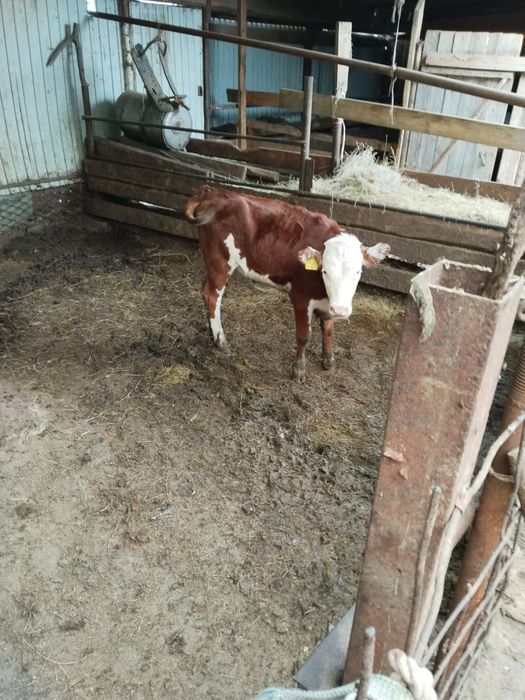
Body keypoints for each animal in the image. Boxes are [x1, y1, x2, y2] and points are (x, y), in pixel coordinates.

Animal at [186, 187, 390, 379]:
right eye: (325, 271)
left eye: (358, 272)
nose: (340, 310)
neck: (323, 292)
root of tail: (211, 192)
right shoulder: (300, 298)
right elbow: (304, 336)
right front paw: (298, 371)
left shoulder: (329, 303)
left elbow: (328, 329)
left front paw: (329, 361)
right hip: (220, 262)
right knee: (213, 296)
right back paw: (221, 341)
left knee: (205, 290)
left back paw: (212, 333)